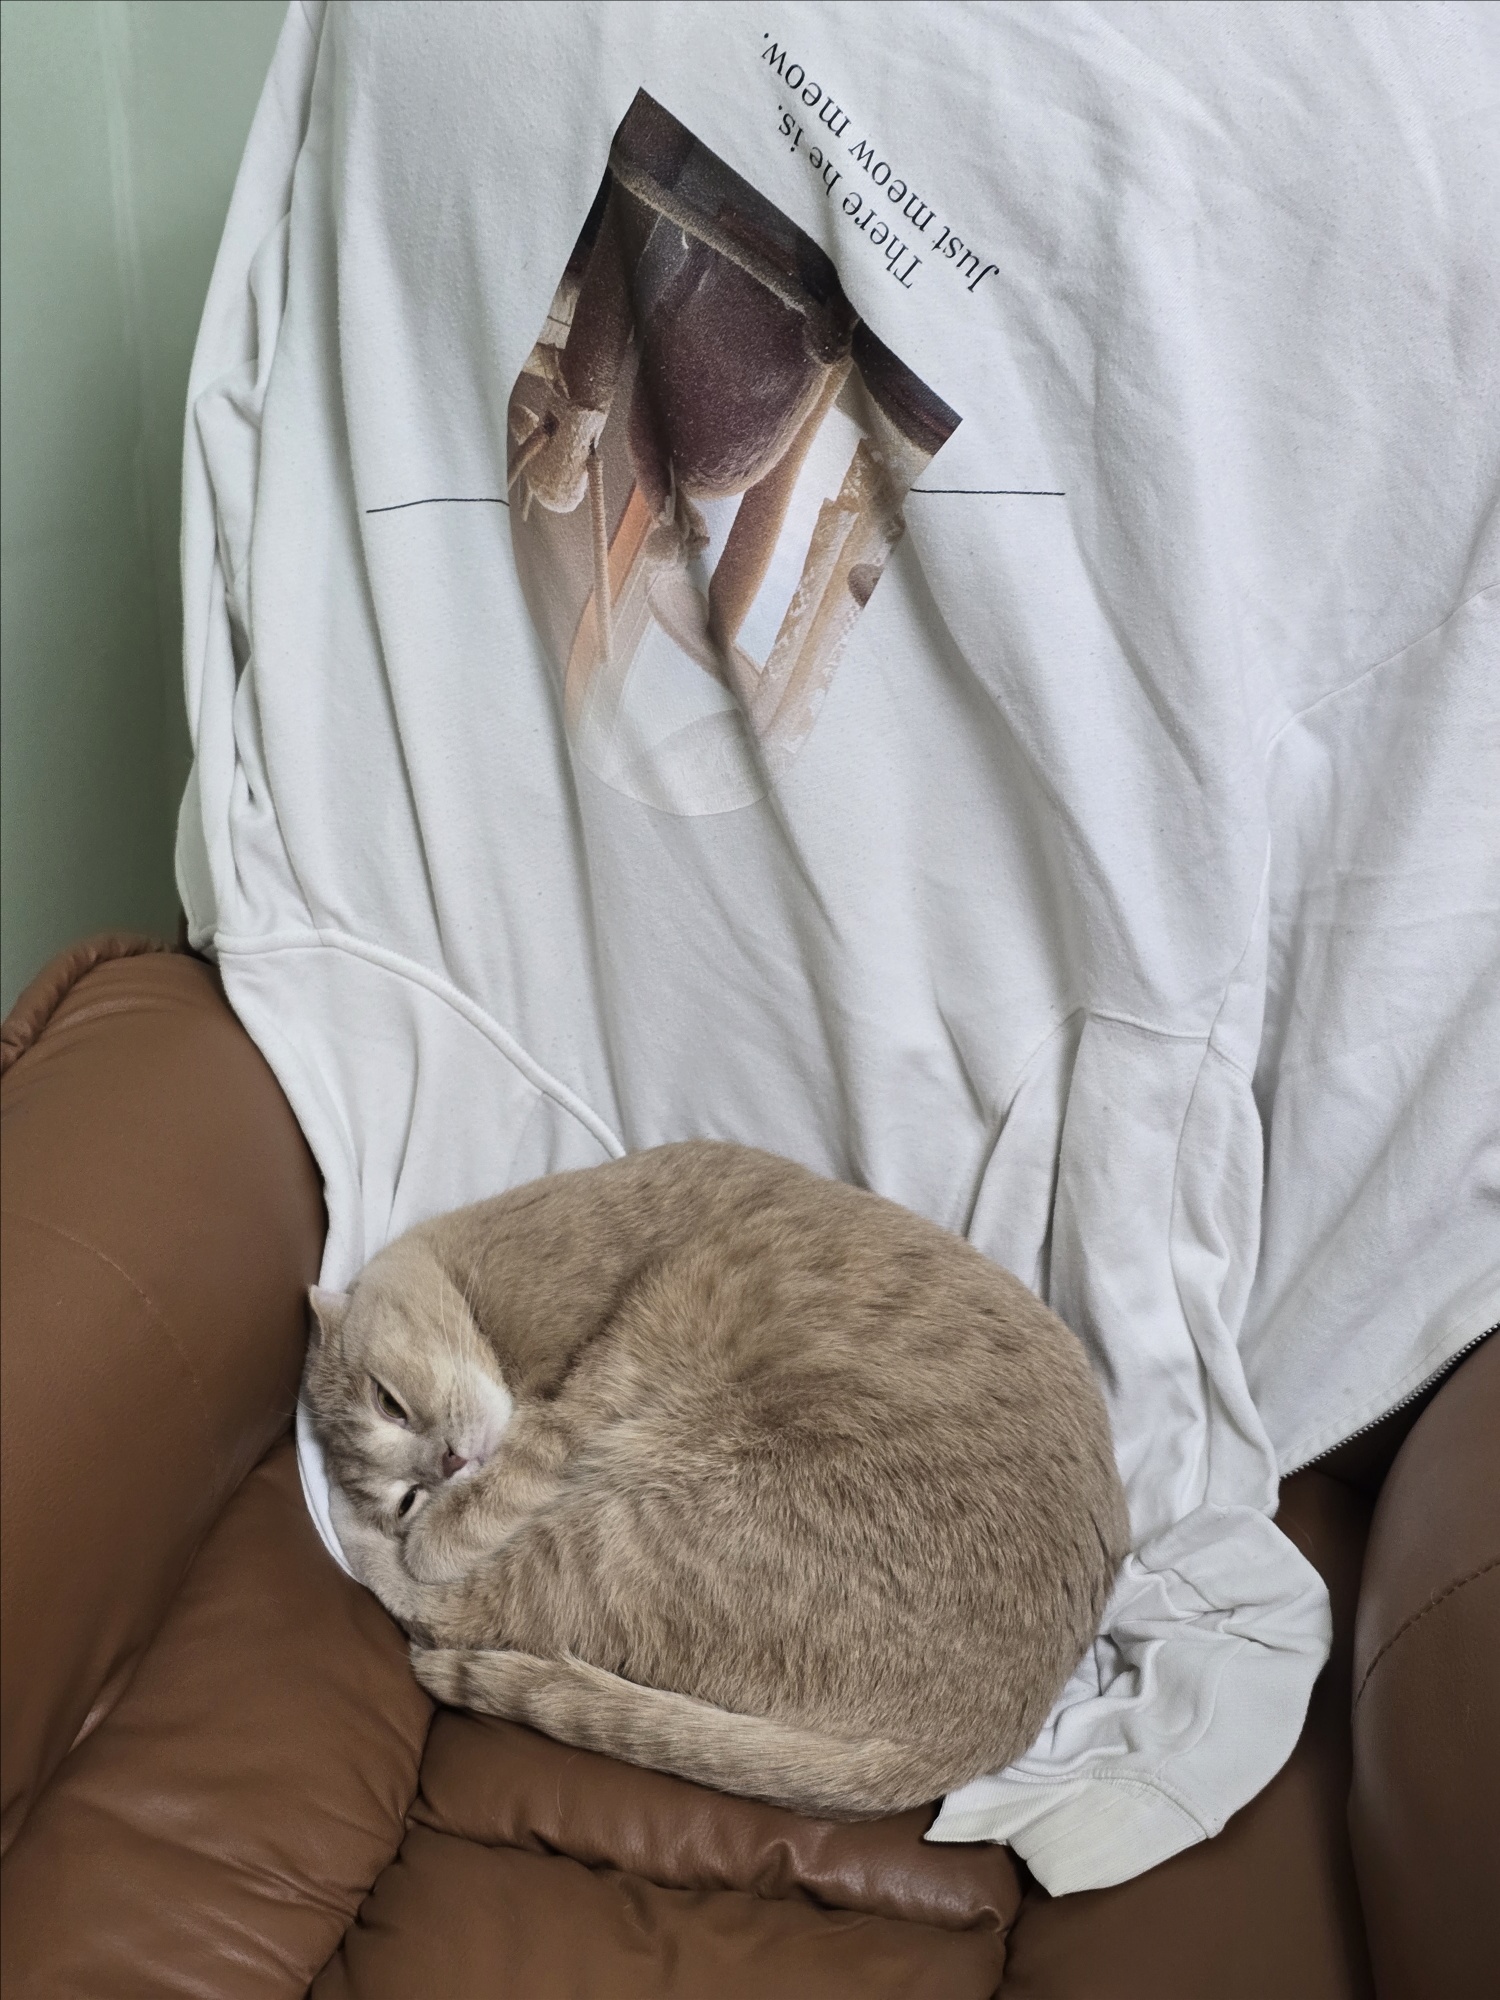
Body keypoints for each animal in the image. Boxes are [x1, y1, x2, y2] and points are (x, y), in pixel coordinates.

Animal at [303, 1141, 1129, 1819]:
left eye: (388, 1402)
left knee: (455, 1609)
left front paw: (427, 1529)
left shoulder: (595, 1386)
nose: (443, 1467)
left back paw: (344, 1526)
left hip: (632, 1533)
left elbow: (481, 1505)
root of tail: (977, 1747)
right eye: (406, 1494)